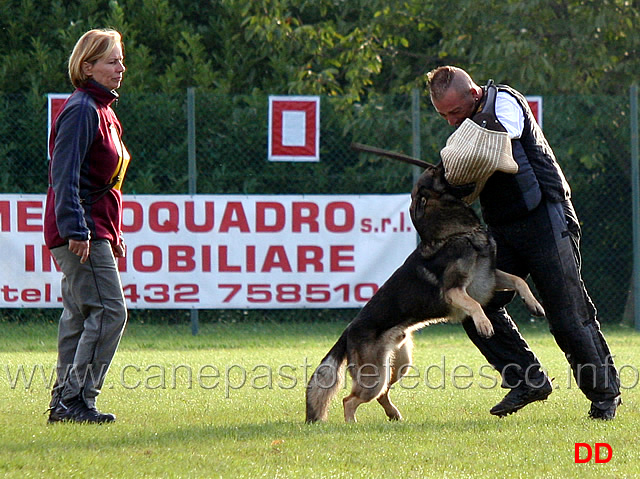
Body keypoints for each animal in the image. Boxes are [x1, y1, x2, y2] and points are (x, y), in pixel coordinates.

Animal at [306, 164, 544, 424]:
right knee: (349, 400)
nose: (442, 162)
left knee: (381, 394)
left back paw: (393, 415)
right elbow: (474, 305)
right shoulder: (455, 290)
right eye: (437, 173)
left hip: (399, 364)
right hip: (374, 375)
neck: (456, 233)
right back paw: (352, 424)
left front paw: (534, 304)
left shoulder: (487, 279)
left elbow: (518, 280)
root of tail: (349, 329)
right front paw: (484, 324)